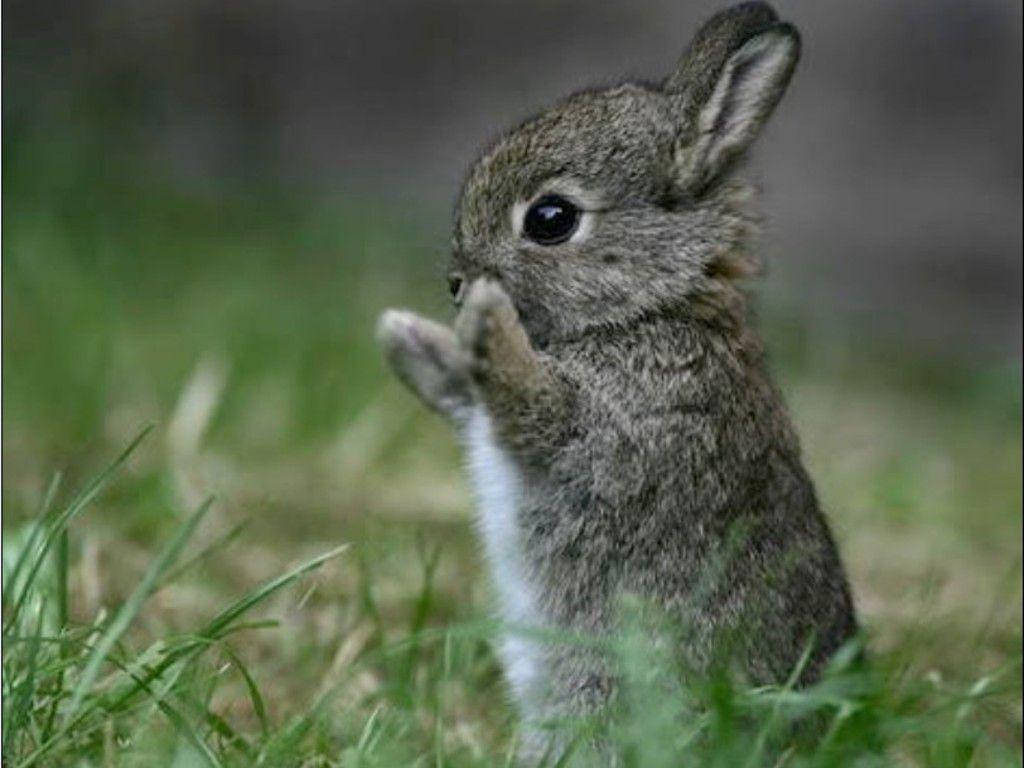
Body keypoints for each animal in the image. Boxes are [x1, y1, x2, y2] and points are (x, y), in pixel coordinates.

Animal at [376, 0, 856, 745]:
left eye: (551, 218)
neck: (649, 309)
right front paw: (408, 336)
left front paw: (487, 320)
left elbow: (534, 405)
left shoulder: (616, 433)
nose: (457, 283)